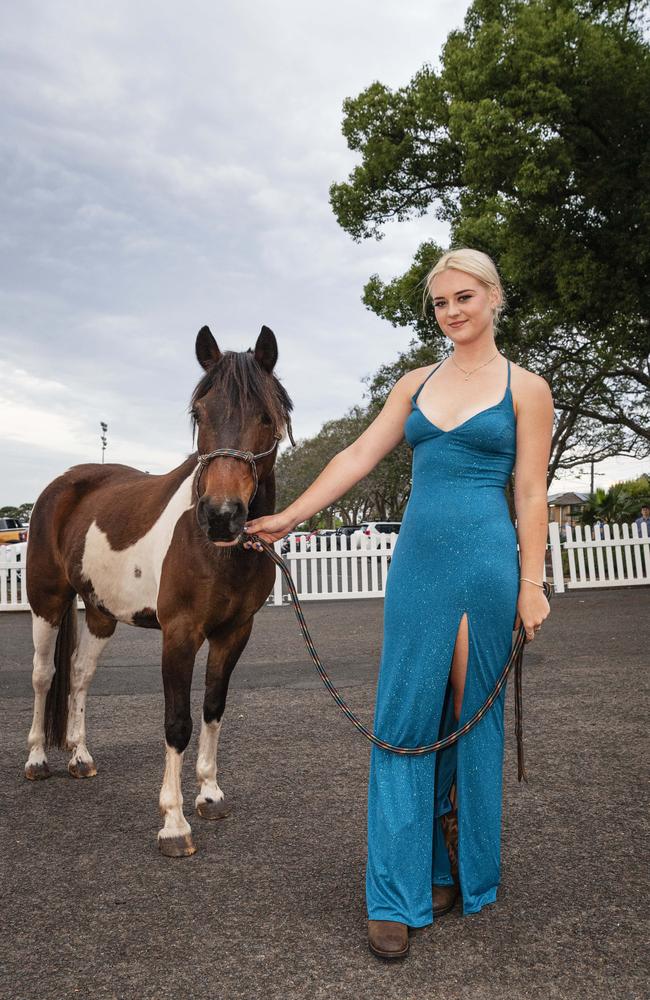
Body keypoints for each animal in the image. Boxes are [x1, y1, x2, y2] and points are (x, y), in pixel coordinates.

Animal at [24, 324, 294, 856]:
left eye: (266, 415)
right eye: (199, 413)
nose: (221, 515)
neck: (216, 551)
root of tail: (62, 484)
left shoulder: (235, 632)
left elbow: (212, 708)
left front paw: (209, 795)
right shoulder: (180, 634)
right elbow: (177, 723)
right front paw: (173, 822)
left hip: (100, 612)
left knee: (80, 675)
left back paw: (79, 757)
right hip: (46, 602)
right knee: (44, 675)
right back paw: (37, 760)